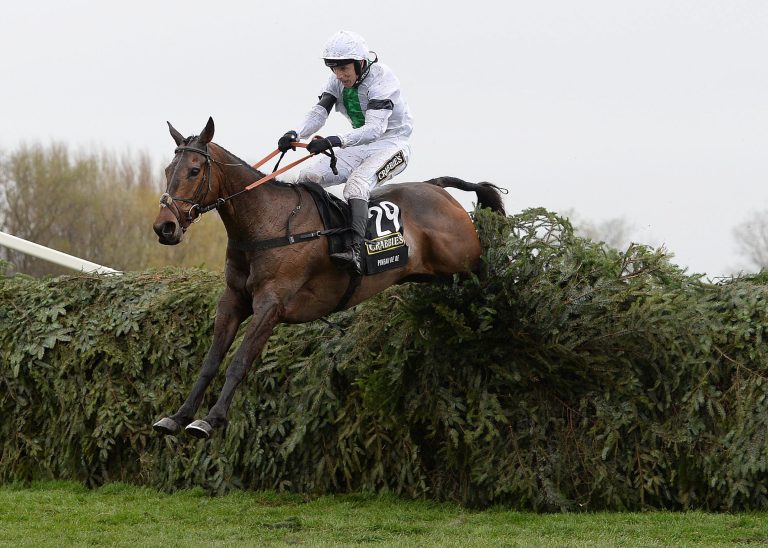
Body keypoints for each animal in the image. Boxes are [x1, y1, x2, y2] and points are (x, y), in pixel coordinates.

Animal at [152, 117, 506, 439]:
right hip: (432, 275)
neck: (266, 223)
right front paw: (179, 416)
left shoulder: (271, 305)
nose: (164, 227)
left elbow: (239, 361)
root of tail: (437, 188)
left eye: (194, 171)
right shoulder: (233, 300)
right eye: (168, 170)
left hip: (464, 262)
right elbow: (210, 362)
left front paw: (211, 419)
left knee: (486, 275)